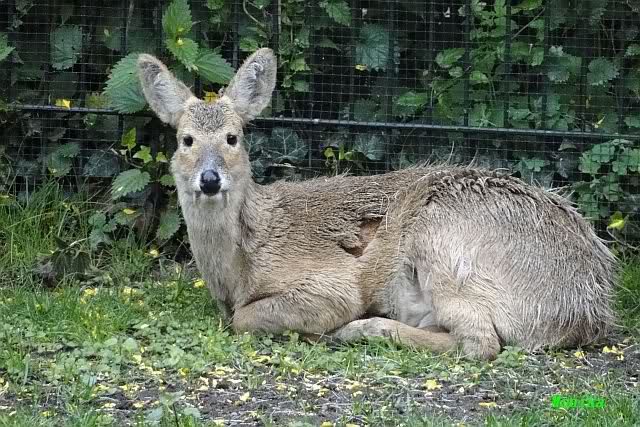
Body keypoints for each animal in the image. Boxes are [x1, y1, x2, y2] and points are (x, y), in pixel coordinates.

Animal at [136, 48, 617, 360]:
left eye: (233, 137)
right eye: (186, 139)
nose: (209, 179)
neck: (240, 265)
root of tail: (585, 306)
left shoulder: (333, 284)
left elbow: (245, 320)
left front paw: (322, 330)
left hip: (445, 240)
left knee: (480, 342)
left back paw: (361, 329)